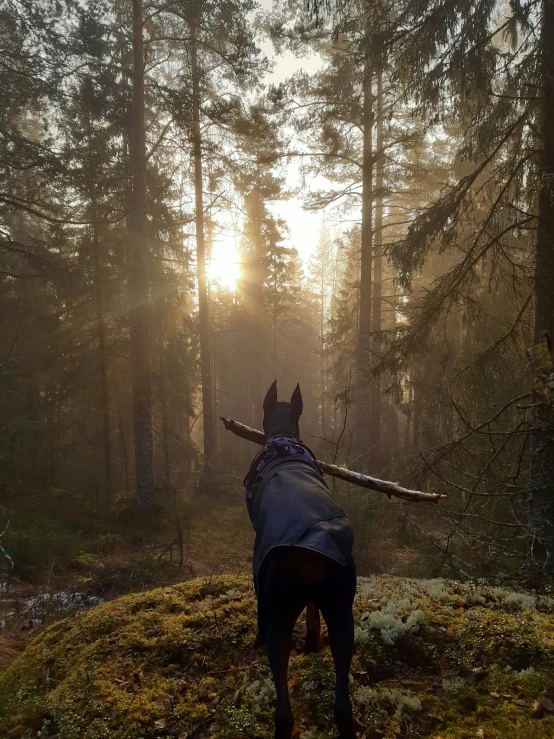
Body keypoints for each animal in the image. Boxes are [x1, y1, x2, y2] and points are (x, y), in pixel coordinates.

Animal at [244, 382, 356, 739]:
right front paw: (312, 640)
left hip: (277, 619)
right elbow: (312, 611)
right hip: (342, 612)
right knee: (343, 707)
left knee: (283, 712)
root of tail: (315, 537)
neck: (282, 441)